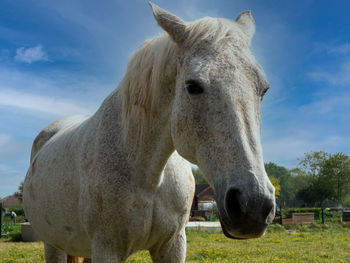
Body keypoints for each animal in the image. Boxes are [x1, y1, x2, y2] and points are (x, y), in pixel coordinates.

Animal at [22, 2, 276, 263]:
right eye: (192, 86)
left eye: (263, 89)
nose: (254, 206)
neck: (148, 174)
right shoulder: (107, 247)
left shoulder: (173, 245)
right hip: (53, 244)